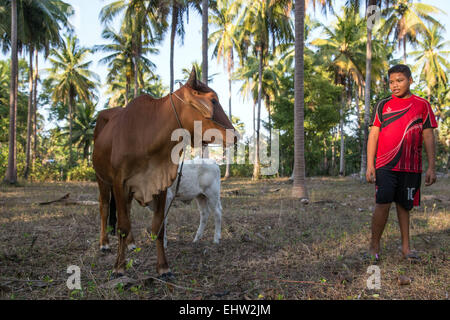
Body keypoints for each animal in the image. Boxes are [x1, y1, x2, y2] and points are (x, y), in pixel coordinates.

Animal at [93, 69, 237, 278]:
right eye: (213, 100)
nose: (235, 135)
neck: (146, 135)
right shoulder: (121, 183)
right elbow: (123, 226)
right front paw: (119, 267)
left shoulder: (161, 184)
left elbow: (159, 226)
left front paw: (163, 267)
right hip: (102, 179)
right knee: (105, 208)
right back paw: (105, 244)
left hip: (207, 194)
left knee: (212, 212)